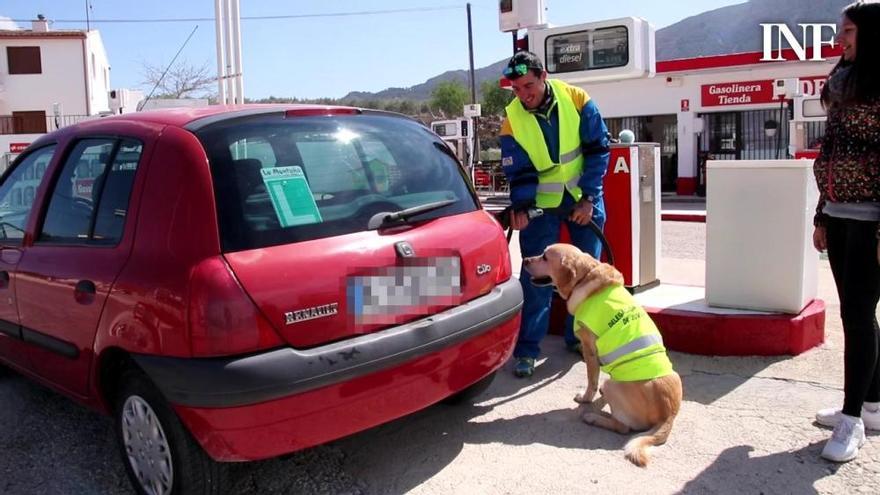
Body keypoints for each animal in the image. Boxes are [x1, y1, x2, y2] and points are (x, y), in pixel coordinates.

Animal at [524, 244, 680, 468]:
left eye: (545, 257)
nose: (525, 260)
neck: (585, 278)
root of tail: (669, 414)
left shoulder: (589, 347)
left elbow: (592, 377)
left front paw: (586, 398)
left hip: (613, 384)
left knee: (623, 427)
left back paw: (593, 417)